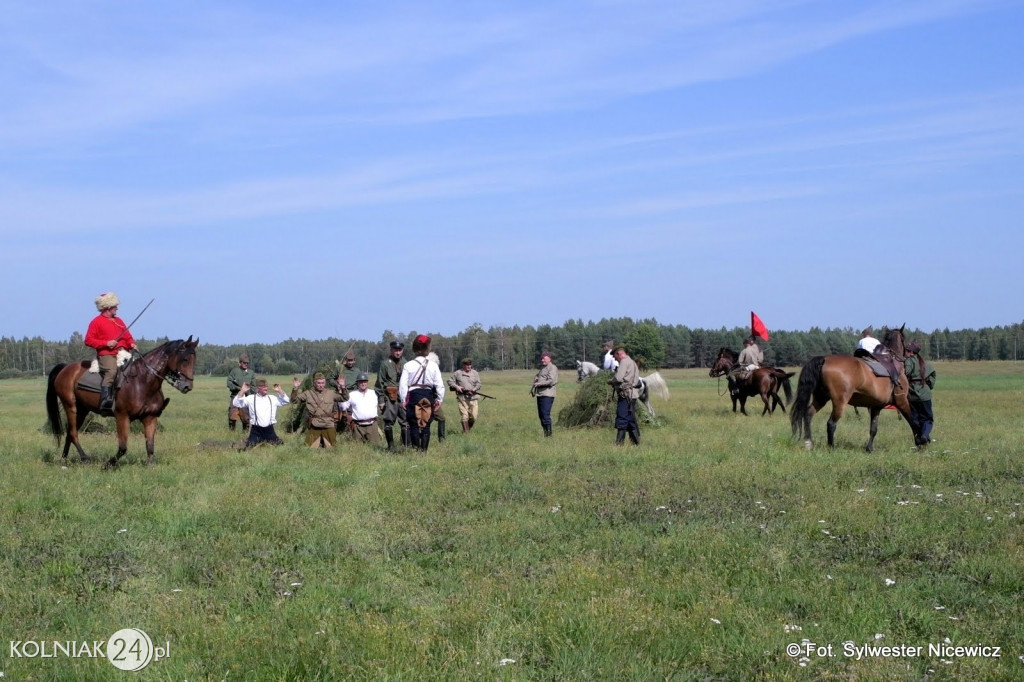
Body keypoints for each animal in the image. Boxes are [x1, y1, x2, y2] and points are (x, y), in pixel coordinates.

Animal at [47, 335, 198, 466]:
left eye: (194, 360)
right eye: (185, 359)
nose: (187, 386)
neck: (142, 381)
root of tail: (66, 367)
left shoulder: (150, 417)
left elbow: (150, 445)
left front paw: (151, 466)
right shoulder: (122, 417)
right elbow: (123, 447)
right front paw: (108, 464)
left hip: (83, 410)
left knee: (70, 433)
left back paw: (64, 460)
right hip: (70, 406)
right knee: (73, 433)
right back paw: (84, 458)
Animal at [786, 325, 925, 450]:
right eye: (904, 339)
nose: (908, 353)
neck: (894, 362)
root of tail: (824, 359)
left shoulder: (876, 406)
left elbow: (873, 429)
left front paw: (869, 449)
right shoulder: (902, 401)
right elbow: (913, 421)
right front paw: (920, 441)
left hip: (821, 398)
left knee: (808, 415)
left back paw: (809, 443)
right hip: (839, 402)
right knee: (831, 423)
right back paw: (831, 447)